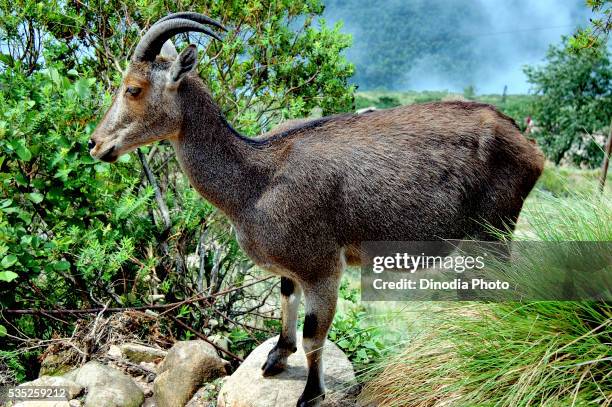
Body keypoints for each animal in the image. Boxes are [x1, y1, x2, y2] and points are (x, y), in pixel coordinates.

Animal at [89, 11, 544, 407]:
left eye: (133, 88)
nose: (95, 144)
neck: (255, 180)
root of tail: (529, 147)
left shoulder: (322, 265)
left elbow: (314, 335)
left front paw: (310, 394)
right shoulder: (293, 267)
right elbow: (286, 301)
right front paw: (275, 358)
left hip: (495, 231)